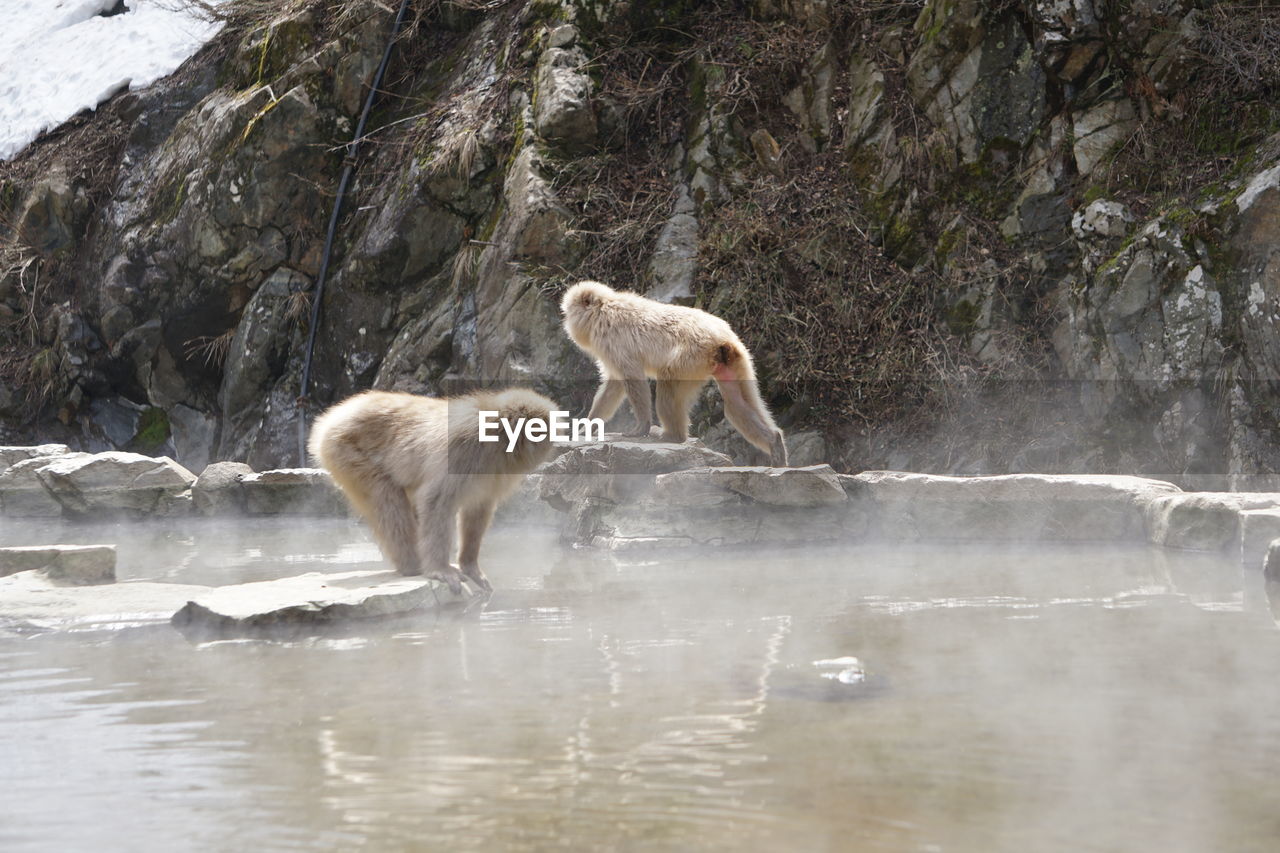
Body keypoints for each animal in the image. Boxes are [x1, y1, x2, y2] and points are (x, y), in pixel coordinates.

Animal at [307, 384, 558, 591]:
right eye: (539, 430)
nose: (548, 444)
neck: (498, 439)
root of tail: (336, 414)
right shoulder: (464, 446)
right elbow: (437, 501)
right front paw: (440, 569)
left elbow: (478, 508)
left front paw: (469, 566)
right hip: (343, 449)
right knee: (387, 499)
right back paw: (413, 566)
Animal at [563, 279, 788, 466]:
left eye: (568, 312)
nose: (565, 322)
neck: (603, 308)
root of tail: (722, 339)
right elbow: (615, 382)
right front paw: (589, 426)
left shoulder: (610, 338)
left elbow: (632, 376)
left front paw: (641, 427)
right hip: (738, 360)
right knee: (736, 403)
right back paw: (775, 442)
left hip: (691, 357)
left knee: (668, 384)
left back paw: (673, 436)